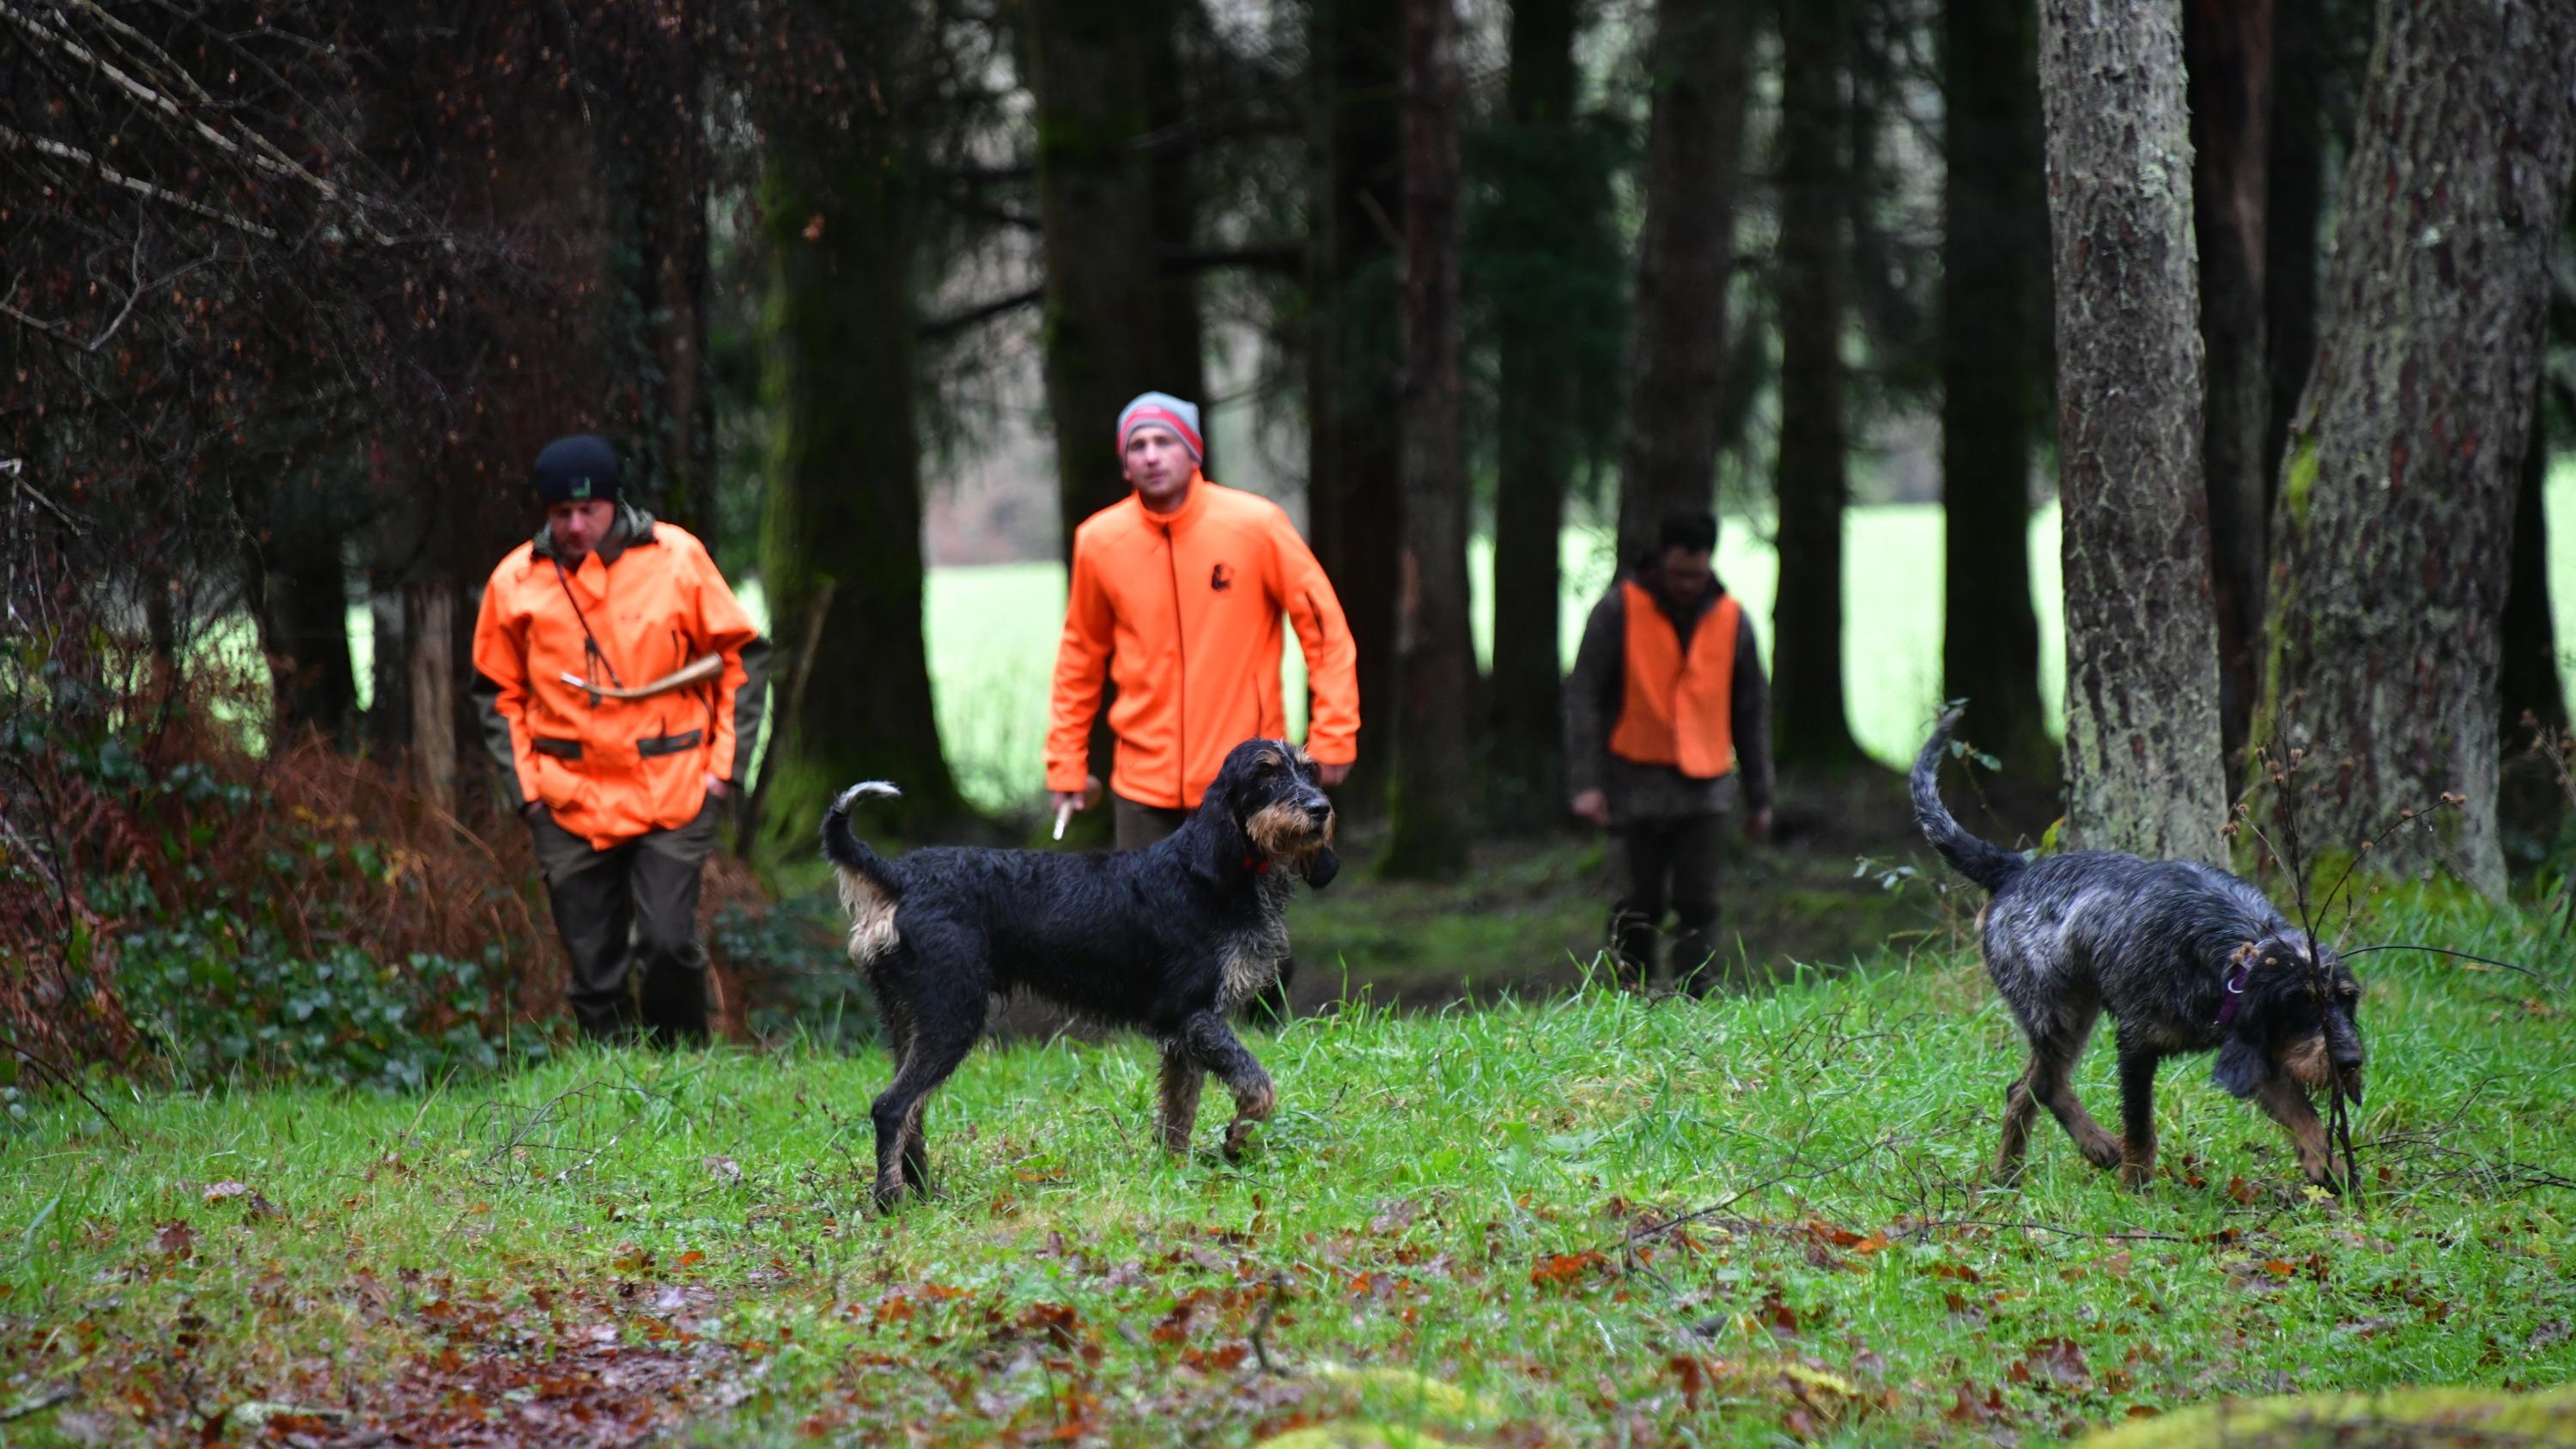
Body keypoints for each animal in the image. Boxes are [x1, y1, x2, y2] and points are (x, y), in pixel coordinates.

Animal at [824, 737, 1350, 1201]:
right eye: (1266, 773)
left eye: (1309, 770)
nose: (1320, 808)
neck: (1213, 872)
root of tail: (901, 877)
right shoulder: (1193, 1015)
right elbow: (1258, 1086)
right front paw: (1238, 1137)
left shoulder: (1185, 1034)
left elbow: (1178, 1112)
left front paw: (1174, 1174)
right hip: (951, 1018)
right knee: (891, 1107)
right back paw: (892, 1203)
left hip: (909, 1022)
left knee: (911, 1111)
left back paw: (923, 1193)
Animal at [1906, 706, 2360, 1190]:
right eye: (2303, 1002)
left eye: (2345, 1000)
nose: (2350, 1060)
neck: (2223, 951)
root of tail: (2013, 870)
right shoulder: (2138, 1043)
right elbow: (2139, 1128)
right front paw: (2136, 1187)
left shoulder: (2257, 1044)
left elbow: (2302, 1113)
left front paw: (2327, 1166)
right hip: (2058, 1012)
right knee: (2045, 1085)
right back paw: (2096, 1145)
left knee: (2022, 1089)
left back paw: (2007, 1173)